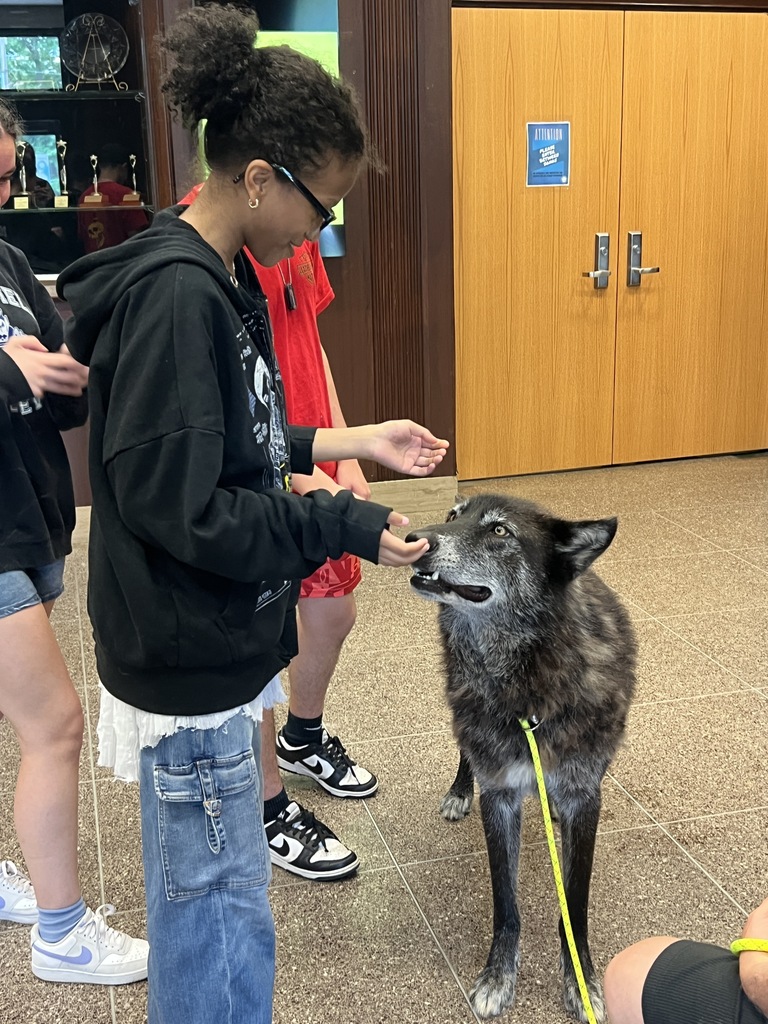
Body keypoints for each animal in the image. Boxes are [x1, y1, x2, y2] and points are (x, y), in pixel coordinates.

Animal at [407, 494, 636, 1022]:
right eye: (453, 516)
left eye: (500, 532)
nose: (413, 539)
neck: (526, 684)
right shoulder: (500, 797)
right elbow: (505, 905)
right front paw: (498, 976)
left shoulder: (584, 799)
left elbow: (575, 903)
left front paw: (580, 979)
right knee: (465, 751)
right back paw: (459, 790)